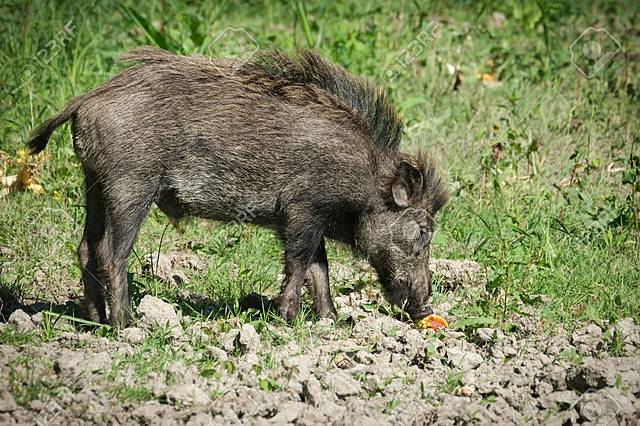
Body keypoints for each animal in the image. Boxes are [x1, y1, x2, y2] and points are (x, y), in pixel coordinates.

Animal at [28, 47, 448, 327]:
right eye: (422, 231)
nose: (426, 308)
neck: (366, 179)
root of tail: (87, 100)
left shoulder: (306, 220)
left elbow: (319, 269)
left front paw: (334, 321)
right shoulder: (303, 212)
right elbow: (301, 264)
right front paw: (289, 318)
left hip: (94, 185)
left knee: (85, 249)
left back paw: (93, 321)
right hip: (129, 187)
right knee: (109, 254)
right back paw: (127, 325)